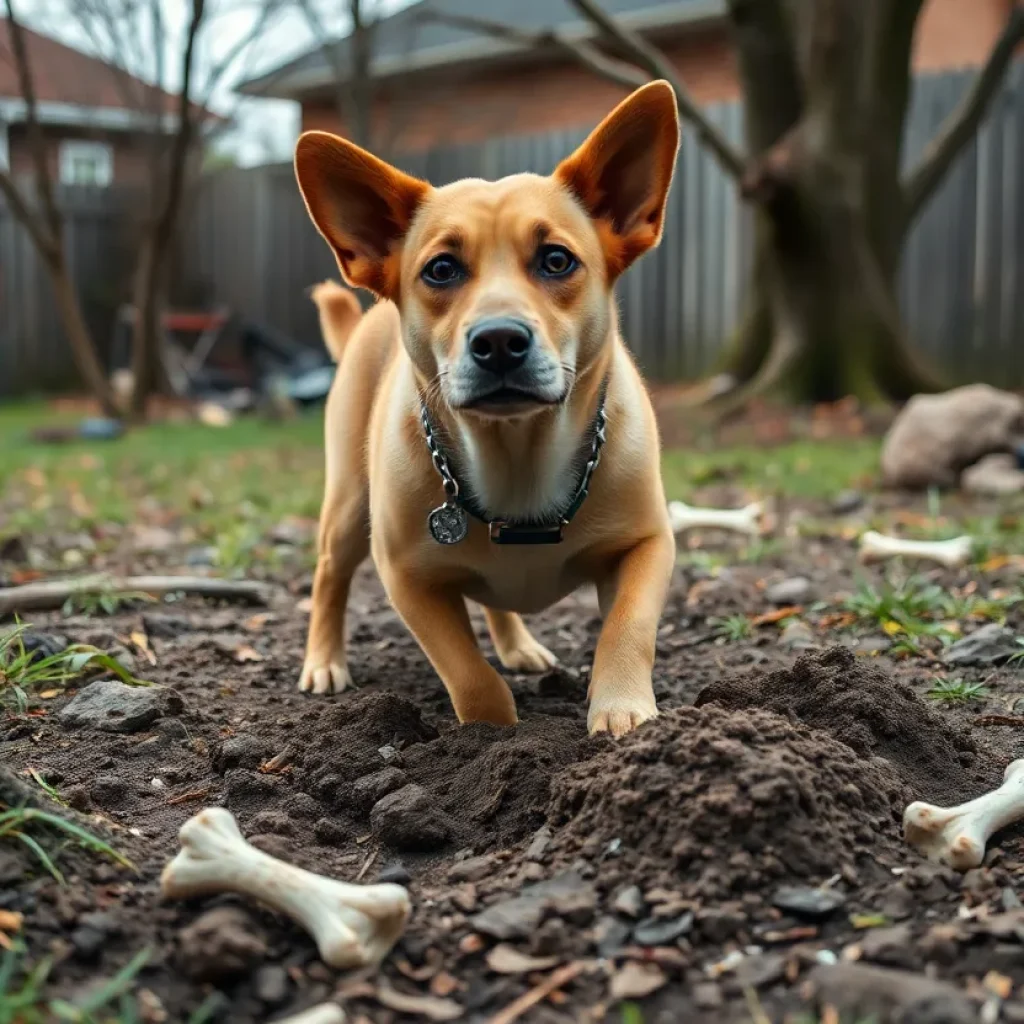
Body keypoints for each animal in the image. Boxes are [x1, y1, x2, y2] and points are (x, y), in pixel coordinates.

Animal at [294, 79, 679, 737]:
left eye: (556, 260)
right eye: (442, 269)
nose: (499, 340)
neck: (517, 457)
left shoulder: (648, 544)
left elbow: (627, 628)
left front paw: (623, 708)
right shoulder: (407, 578)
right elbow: (467, 673)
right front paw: (493, 735)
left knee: (495, 600)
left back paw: (517, 643)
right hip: (347, 503)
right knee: (329, 574)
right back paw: (323, 659)